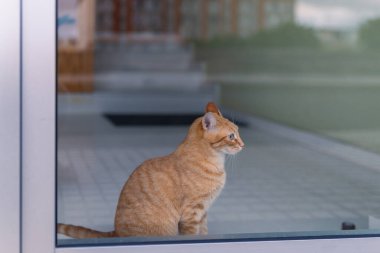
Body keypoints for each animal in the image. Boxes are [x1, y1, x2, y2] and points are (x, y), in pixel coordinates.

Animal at [58, 102, 245, 238]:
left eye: (238, 132)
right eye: (231, 136)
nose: (243, 144)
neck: (215, 163)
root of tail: (116, 233)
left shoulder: (203, 212)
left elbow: (204, 233)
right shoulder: (192, 213)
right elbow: (191, 236)